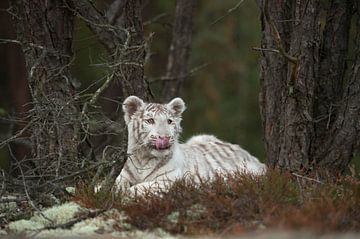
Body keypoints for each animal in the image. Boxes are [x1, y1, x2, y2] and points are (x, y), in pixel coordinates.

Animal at [114, 95, 266, 194]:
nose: (165, 137)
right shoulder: (122, 177)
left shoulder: (170, 181)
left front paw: (127, 196)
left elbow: (139, 188)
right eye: (150, 120)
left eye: (169, 121)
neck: (143, 158)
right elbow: (111, 186)